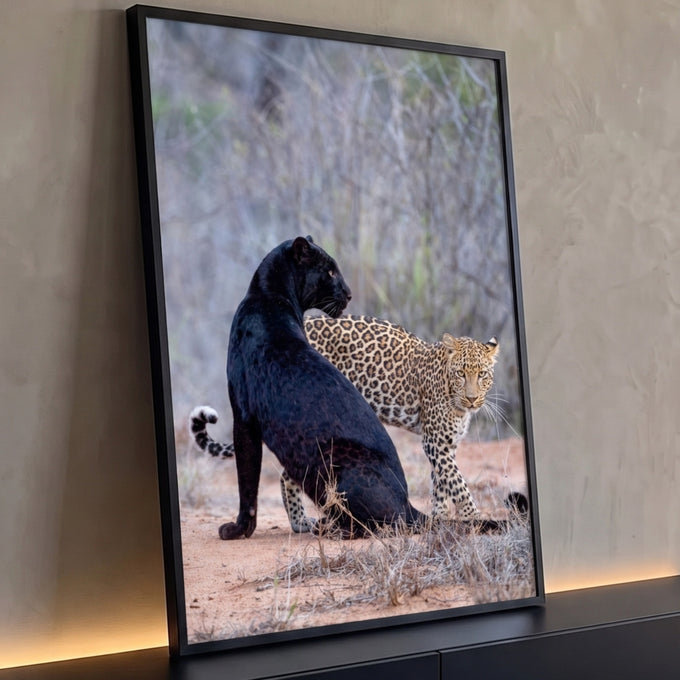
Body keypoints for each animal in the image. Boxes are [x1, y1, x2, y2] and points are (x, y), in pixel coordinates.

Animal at [192, 313, 499, 534]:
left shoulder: (445, 443)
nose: (472, 399)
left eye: (482, 374)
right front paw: (473, 517)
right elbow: (458, 483)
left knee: (289, 473)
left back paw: (300, 522)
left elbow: (442, 484)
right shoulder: (435, 441)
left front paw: (441, 519)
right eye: (461, 374)